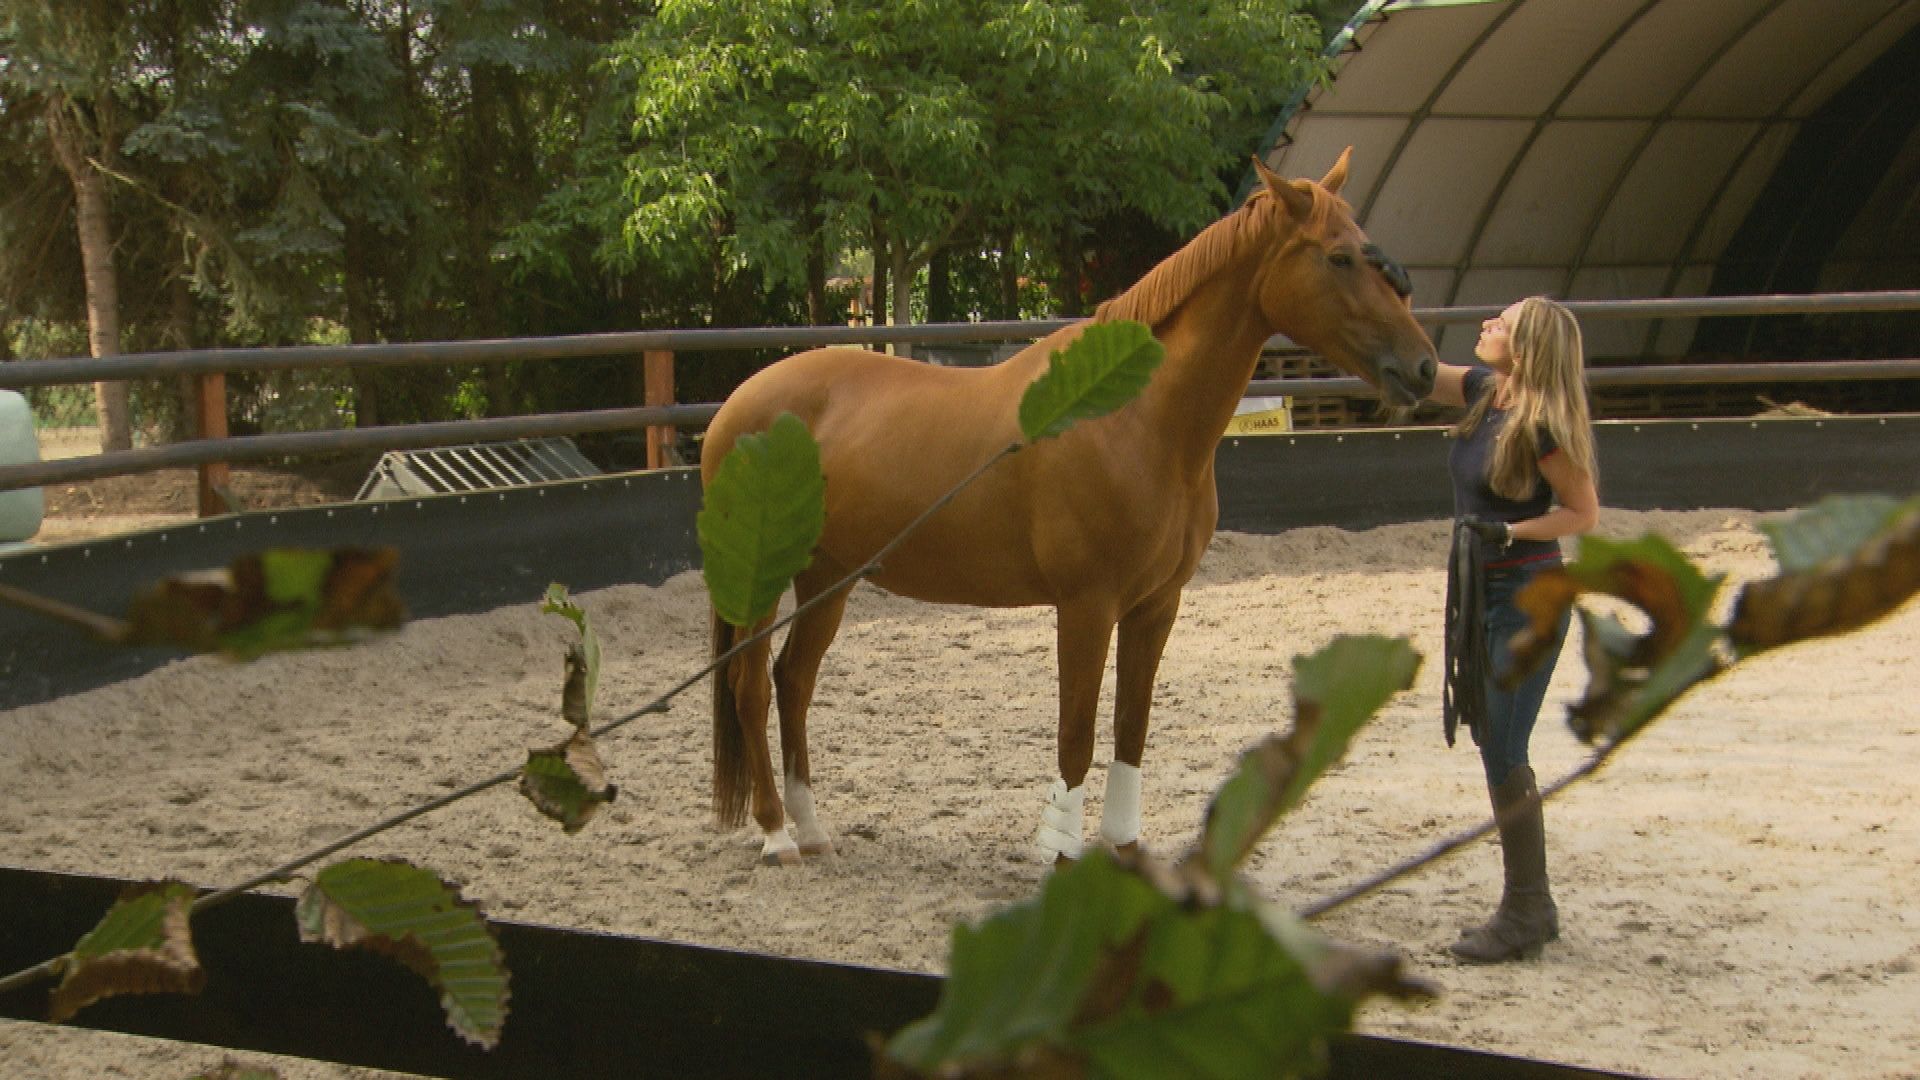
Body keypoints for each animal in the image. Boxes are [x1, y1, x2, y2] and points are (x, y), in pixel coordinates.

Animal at [702, 151, 1428, 860]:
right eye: (1339, 257)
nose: (1421, 367)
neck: (1134, 419)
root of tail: (735, 407)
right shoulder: (1087, 606)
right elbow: (1076, 732)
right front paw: (1061, 852)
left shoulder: (1156, 606)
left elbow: (1131, 726)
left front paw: (1123, 850)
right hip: (767, 583)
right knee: (750, 686)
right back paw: (775, 836)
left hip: (828, 576)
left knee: (793, 681)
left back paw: (811, 830)